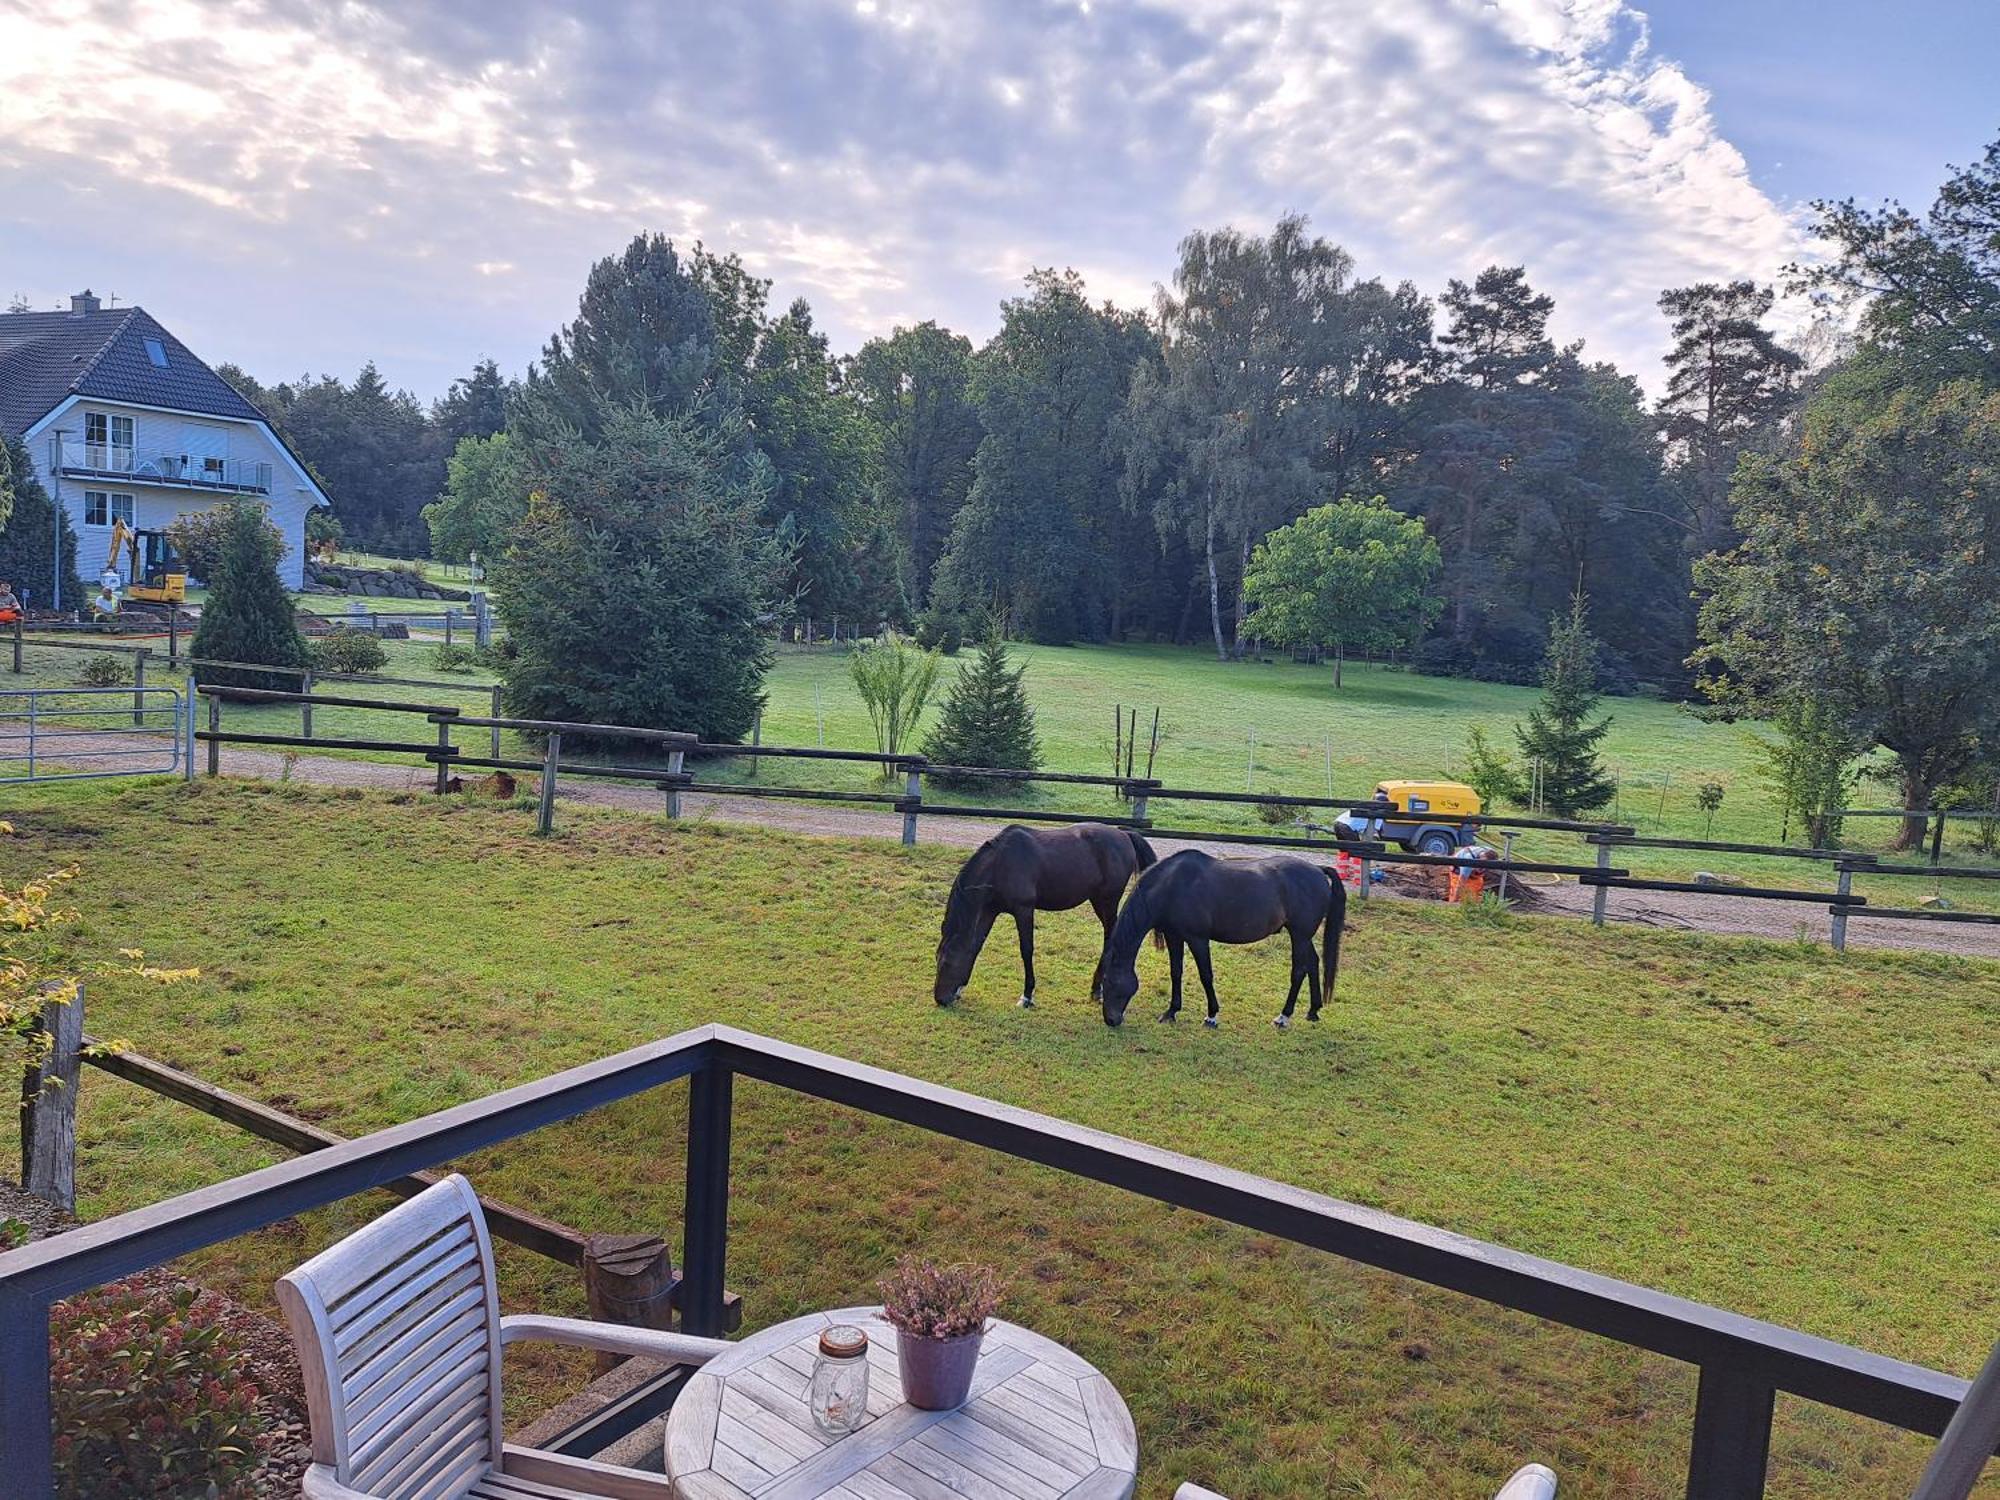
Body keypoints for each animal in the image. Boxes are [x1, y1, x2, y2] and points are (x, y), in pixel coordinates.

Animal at [932, 824, 1160, 1012]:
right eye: (937, 959)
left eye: (948, 961)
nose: (940, 999)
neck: (1000, 863)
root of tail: (1124, 834)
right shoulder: (989, 910)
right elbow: (976, 945)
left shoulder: (1024, 910)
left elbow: (1026, 950)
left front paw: (1027, 996)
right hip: (1098, 901)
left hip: (1108, 901)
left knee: (1109, 938)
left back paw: (1097, 989)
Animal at [1104, 852, 1352, 1032]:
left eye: (1111, 983)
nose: (1110, 1020)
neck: (1172, 886)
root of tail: (1318, 870)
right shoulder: (1175, 936)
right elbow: (1176, 972)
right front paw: (1171, 1012)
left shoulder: (1198, 939)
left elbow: (1206, 976)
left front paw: (1212, 1016)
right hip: (1302, 936)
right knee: (1313, 963)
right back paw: (1313, 1011)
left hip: (1299, 935)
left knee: (1299, 970)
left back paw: (1283, 1017)